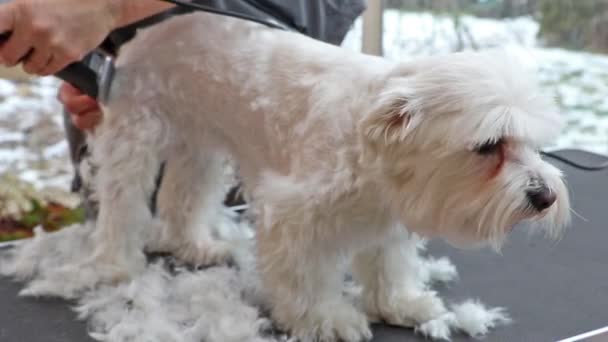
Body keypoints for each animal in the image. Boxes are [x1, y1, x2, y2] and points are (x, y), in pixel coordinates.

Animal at [73, 10, 568, 342]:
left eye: (534, 144)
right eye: (489, 145)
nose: (544, 196)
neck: (371, 143)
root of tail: (144, 36)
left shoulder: (386, 218)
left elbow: (389, 266)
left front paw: (399, 304)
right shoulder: (293, 217)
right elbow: (306, 277)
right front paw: (325, 319)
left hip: (201, 145)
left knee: (184, 194)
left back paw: (192, 244)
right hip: (135, 134)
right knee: (122, 201)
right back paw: (115, 264)